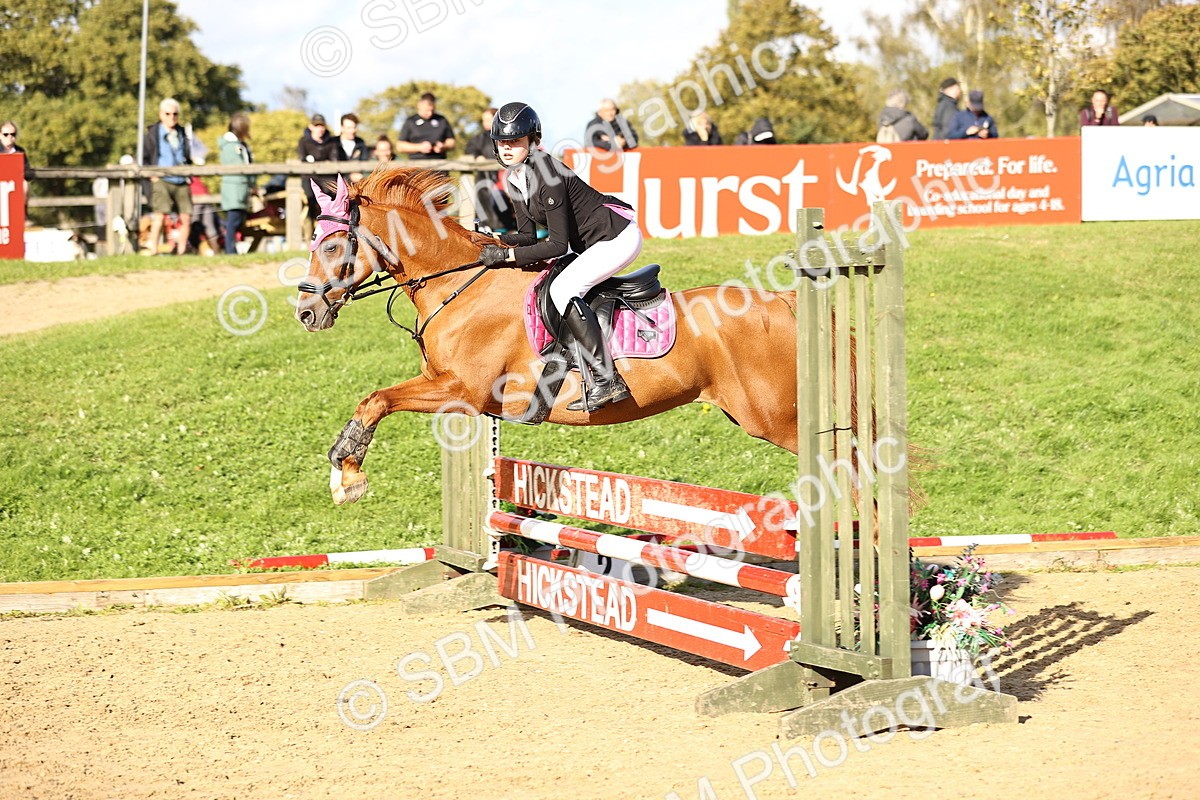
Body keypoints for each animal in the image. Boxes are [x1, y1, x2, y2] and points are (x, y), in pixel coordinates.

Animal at [295, 167, 813, 506]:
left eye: (333, 246)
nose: (306, 313)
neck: (459, 285)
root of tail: (782, 301)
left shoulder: (462, 391)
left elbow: (378, 400)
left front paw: (348, 477)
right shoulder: (443, 384)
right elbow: (373, 399)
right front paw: (342, 468)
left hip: (777, 420)